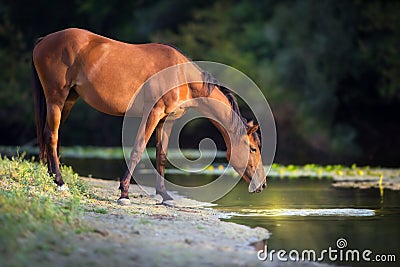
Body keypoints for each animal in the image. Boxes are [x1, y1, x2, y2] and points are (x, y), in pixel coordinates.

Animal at [32, 28, 266, 205]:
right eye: (253, 149)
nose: (262, 184)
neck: (181, 76)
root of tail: (45, 40)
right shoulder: (152, 113)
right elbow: (137, 150)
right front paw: (124, 193)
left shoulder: (167, 119)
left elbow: (161, 155)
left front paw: (165, 196)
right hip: (56, 98)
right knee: (52, 136)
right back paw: (60, 183)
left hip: (68, 100)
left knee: (50, 135)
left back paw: (52, 176)